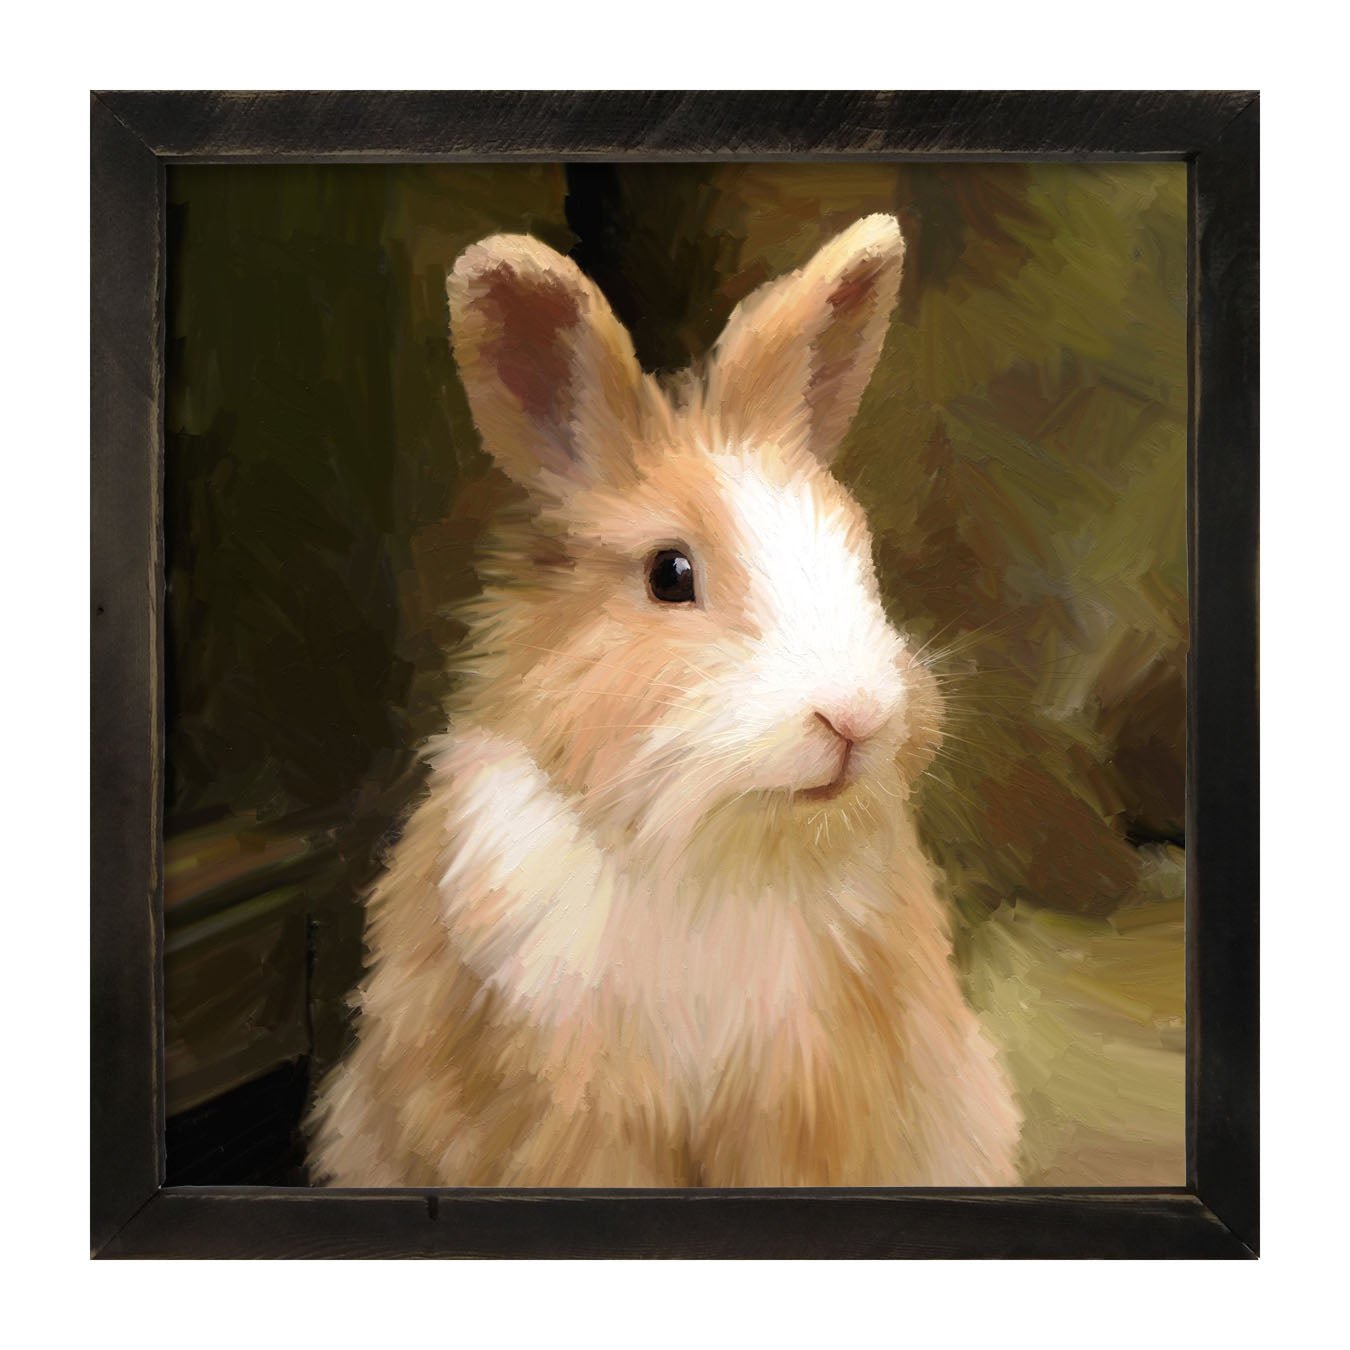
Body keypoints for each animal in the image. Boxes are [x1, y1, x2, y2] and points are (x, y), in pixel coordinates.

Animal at [308, 214, 1022, 1187]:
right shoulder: (574, 1106)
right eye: (669, 575)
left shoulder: (806, 1099)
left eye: (858, 551)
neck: (708, 849)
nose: (857, 716)